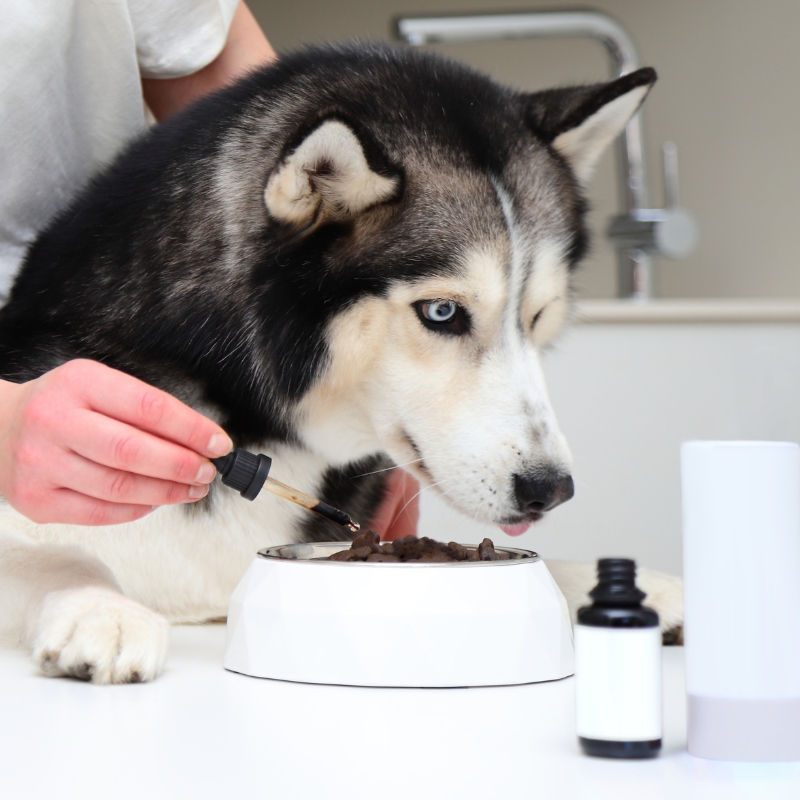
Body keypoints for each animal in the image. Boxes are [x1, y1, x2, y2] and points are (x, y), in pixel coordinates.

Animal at [0, 45, 680, 680]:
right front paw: (102, 609)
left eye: (536, 318)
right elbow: (56, 553)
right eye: (442, 313)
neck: (253, 423)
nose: (551, 490)